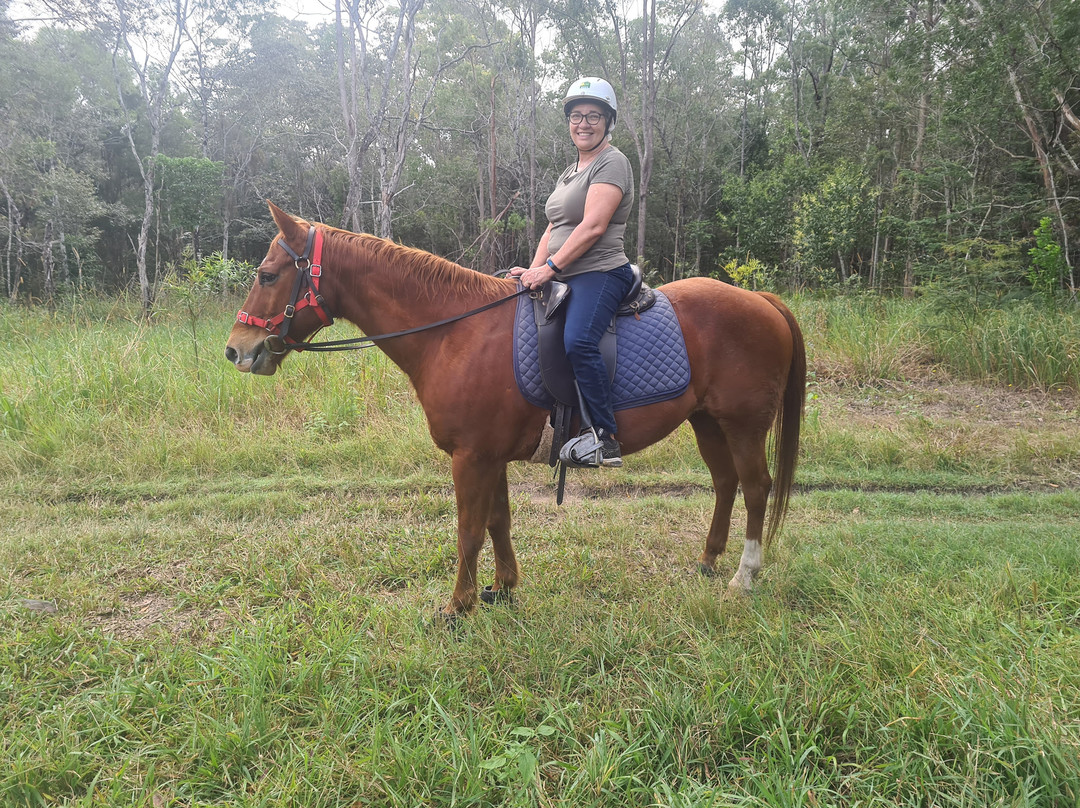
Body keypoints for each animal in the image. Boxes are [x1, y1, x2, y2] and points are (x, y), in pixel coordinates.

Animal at [225, 203, 803, 617]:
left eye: (268, 274)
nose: (235, 350)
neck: (454, 332)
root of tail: (760, 300)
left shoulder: (471, 458)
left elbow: (469, 530)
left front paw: (457, 607)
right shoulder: (489, 456)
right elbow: (498, 522)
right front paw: (503, 589)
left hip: (744, 425)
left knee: (756, 488)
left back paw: (744, 575)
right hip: (708, 422)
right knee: (726, 484)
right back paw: (708, 561)